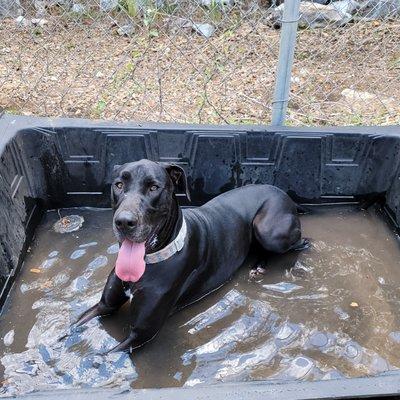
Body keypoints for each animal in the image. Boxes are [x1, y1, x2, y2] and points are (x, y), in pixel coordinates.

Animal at [74, 158, 306, 352]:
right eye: (119, 185)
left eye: (154, 187)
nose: (123, 222)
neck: (152, 261)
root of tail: (285, 195)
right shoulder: (104, 306)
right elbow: (73, 326)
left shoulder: (139, 336)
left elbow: (104, 358)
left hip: (268, 231)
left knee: (300, 242)